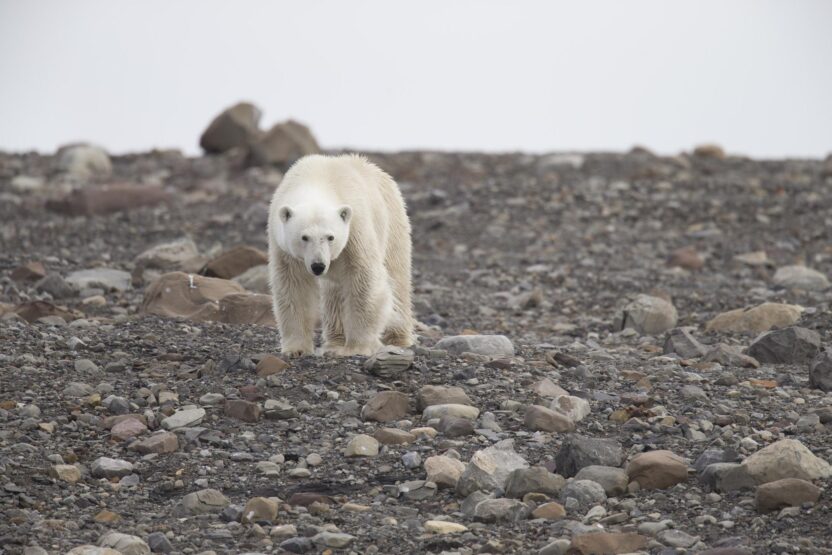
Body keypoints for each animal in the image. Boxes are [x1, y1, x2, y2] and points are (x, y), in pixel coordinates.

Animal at [267, 154, 415, 356]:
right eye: (304, 237)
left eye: (330, 237)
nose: (318, 266)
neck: (316, 181)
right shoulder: (284, 247)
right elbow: (294, 285)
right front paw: (296, 349)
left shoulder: (355, 231)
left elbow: (363, 280)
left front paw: (358, 347)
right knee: (333, 293)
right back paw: (334, 342)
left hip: (392, 222)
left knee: (397, 277)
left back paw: (397, 337)